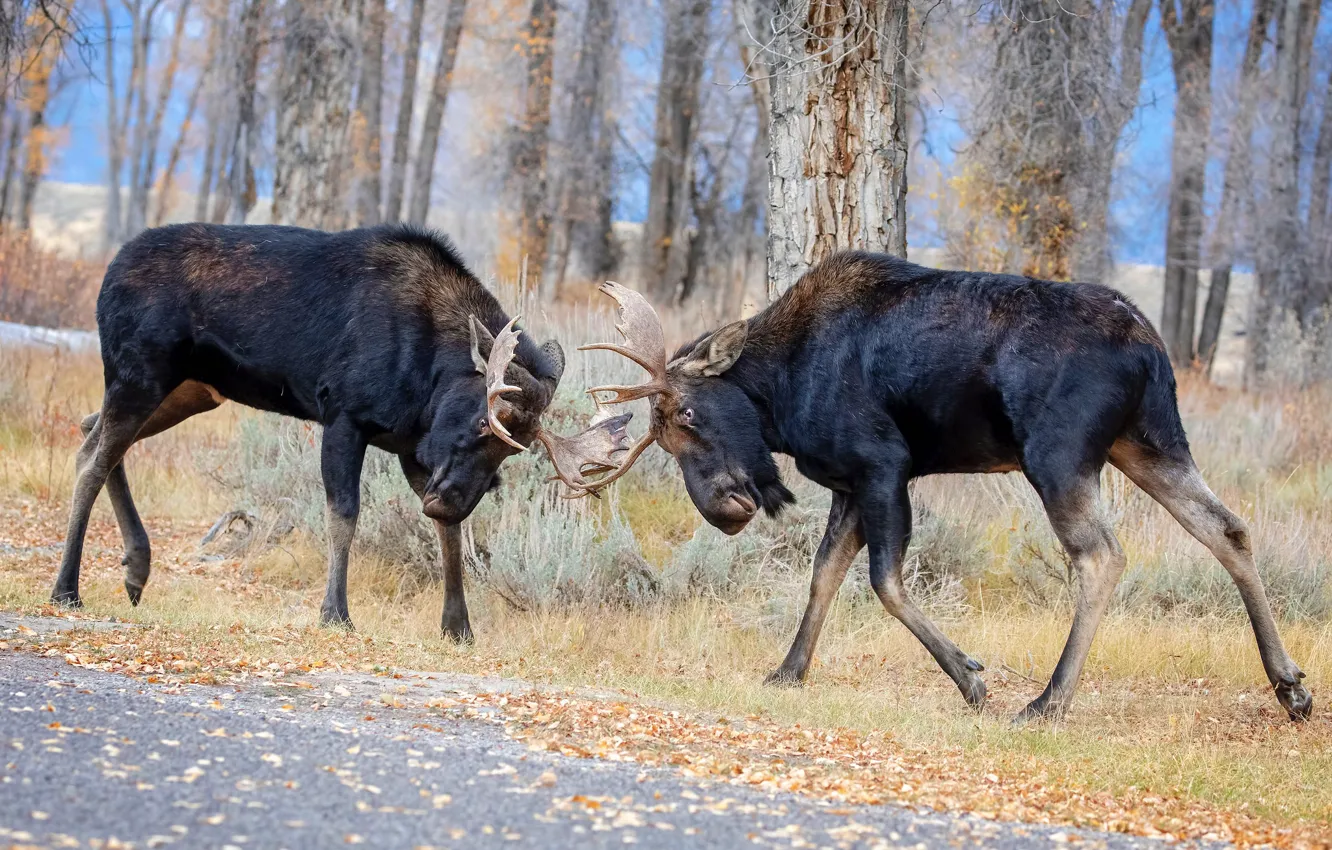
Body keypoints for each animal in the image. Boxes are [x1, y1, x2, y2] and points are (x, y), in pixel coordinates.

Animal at [52, 222, 628, 640]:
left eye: (516, 451)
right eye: (482, 420)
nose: (450, 500)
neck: (430, 378)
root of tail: (108, 272)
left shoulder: (414, 449)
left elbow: (449, 538)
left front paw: (458, 627)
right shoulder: (345, 417)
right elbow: (344, 514)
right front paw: (335, 612)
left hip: (191, 389)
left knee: (89, 431)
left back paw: (135, 567)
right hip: (140, 374)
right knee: (93, 458)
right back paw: (67, 588)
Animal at [569, 252, 1313, 723]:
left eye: (689, 414)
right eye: (663, 437)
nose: (723, 509)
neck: (777, 393)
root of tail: (1149, 347)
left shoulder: (883, 464)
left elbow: (884, 582)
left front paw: (971, 679)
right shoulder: (849, 484)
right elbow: (824, 575)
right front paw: (787, 671)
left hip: (1058, 455)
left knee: (1102, 555)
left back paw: (1047, 702)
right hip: (1150, 442)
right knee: (1226, 526)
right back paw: (1290, 687)